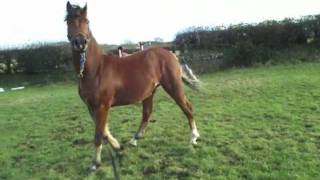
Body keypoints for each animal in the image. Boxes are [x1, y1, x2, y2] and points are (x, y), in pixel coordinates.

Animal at [65, 1, 200, 170]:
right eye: (67, 21)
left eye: (87, 21)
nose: (80, 43)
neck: (95, 70)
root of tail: (171, 54)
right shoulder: (91, 107)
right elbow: (104, 131)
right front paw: (118, 148)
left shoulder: (102, 106)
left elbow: (99, 134)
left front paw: (95, 163)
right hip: (150, 92)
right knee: (147, 113)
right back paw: (134, 139)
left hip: (173, 87)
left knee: (187, 108)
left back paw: (193, 137)